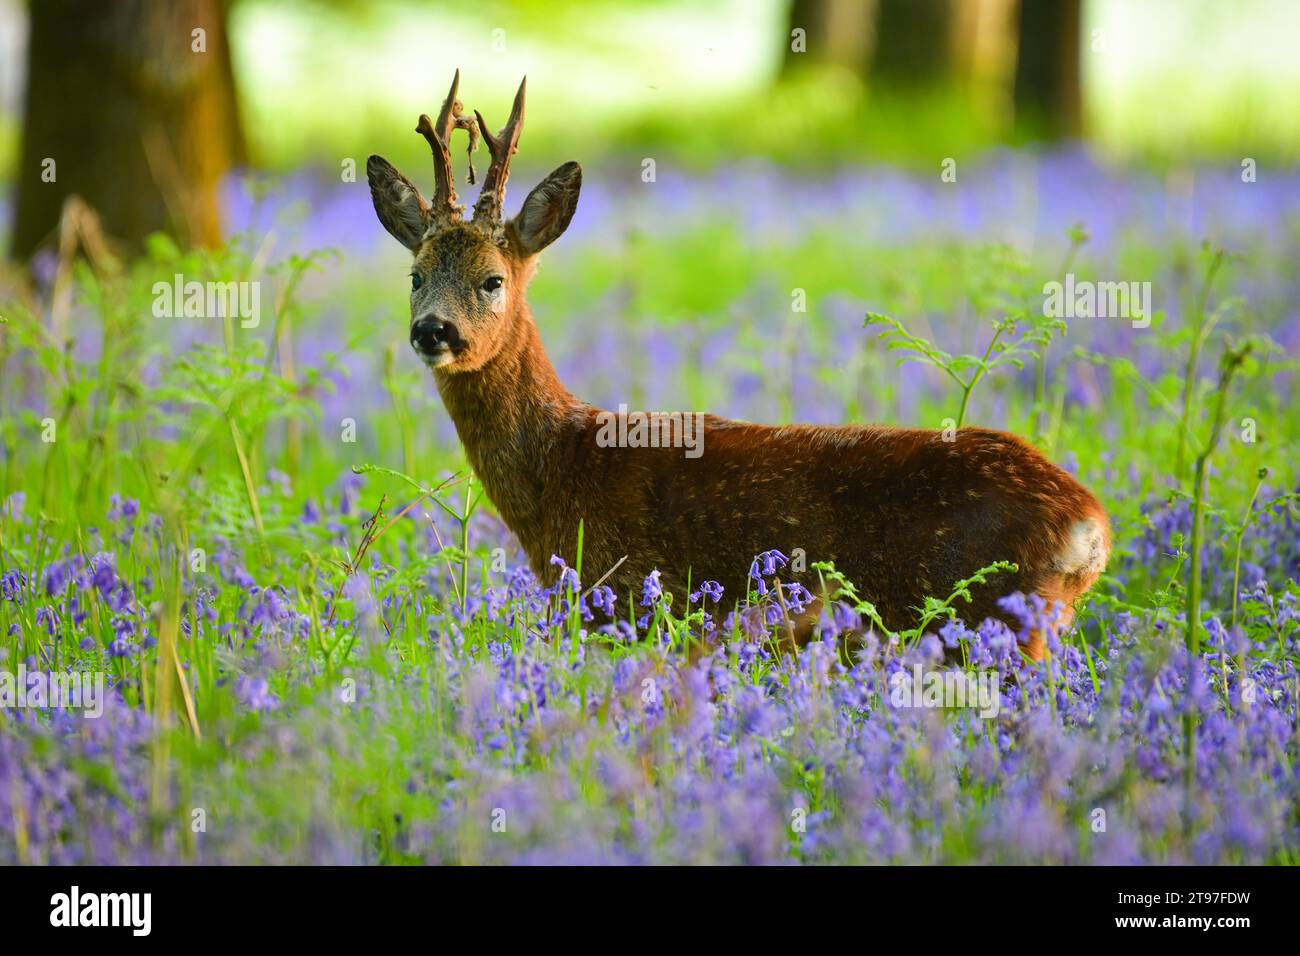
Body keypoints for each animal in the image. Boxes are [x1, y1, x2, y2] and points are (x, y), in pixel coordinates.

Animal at [366, 74, 1107, 660]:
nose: (433, 330)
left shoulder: (628, 601)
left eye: (492, 280)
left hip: (989, 622)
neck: (561, 473)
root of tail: (1091, 525)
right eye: (415, 275)